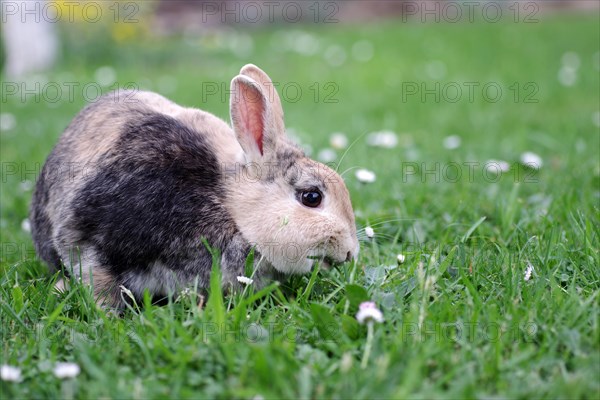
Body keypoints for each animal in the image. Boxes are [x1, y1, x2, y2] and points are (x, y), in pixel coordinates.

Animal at [30, 64, 358, 306]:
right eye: (311, 197)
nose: (350, 252)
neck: (230, 208)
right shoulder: (89, 235)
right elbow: (97, 278)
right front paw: (108, 315)